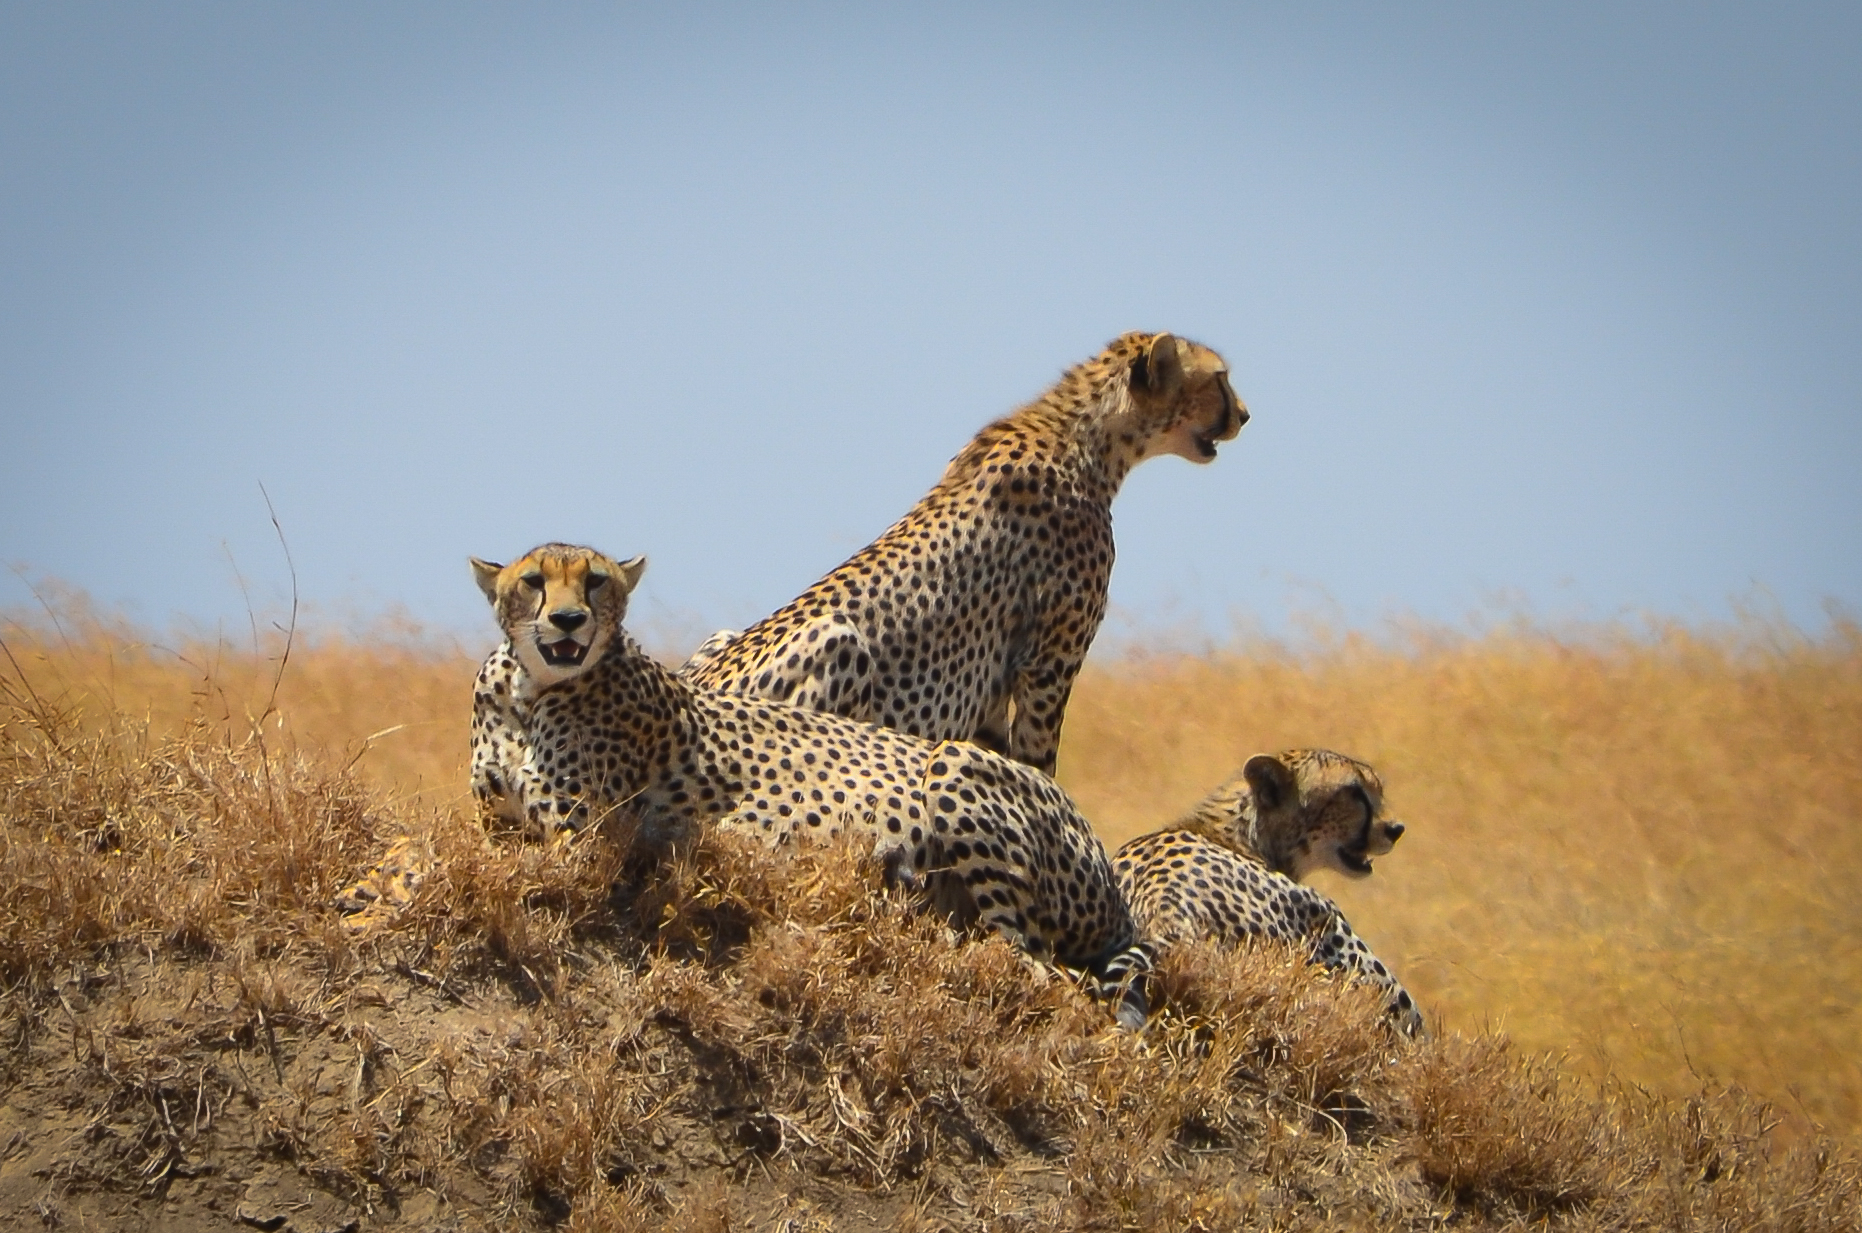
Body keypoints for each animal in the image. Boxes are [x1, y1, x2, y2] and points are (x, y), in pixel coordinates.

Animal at [349, 542, 1159, 1028]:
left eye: (596, 580)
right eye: (532, 582)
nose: (571, 618)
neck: (528, 689)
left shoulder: (581, 840)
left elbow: (449, 859)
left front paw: (375, 905)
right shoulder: (500, 818)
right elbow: (432, 843)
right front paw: (368, 887)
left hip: (958, 767)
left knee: (1038, 966)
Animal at [465, 332, 1244, 796]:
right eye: (1221, 379)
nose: (1246, 415)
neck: (1091, 437)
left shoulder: (997, 677)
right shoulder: (1049, 658)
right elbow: (1041, 755)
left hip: (718, 638)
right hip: (839, 643)